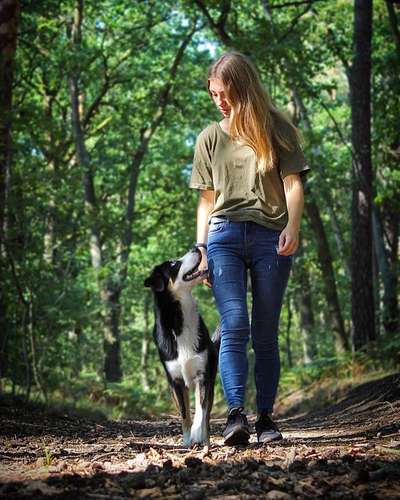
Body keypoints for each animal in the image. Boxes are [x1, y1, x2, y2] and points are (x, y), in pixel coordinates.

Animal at [144, 246, 219, 446]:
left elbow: (201, 410)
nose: (197, 247)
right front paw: (186, 441)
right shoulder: (176, 381)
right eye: (173, 264)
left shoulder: (203, 375)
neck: (180, 320)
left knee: (206, 413)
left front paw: (198, 435)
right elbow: (185, 414)